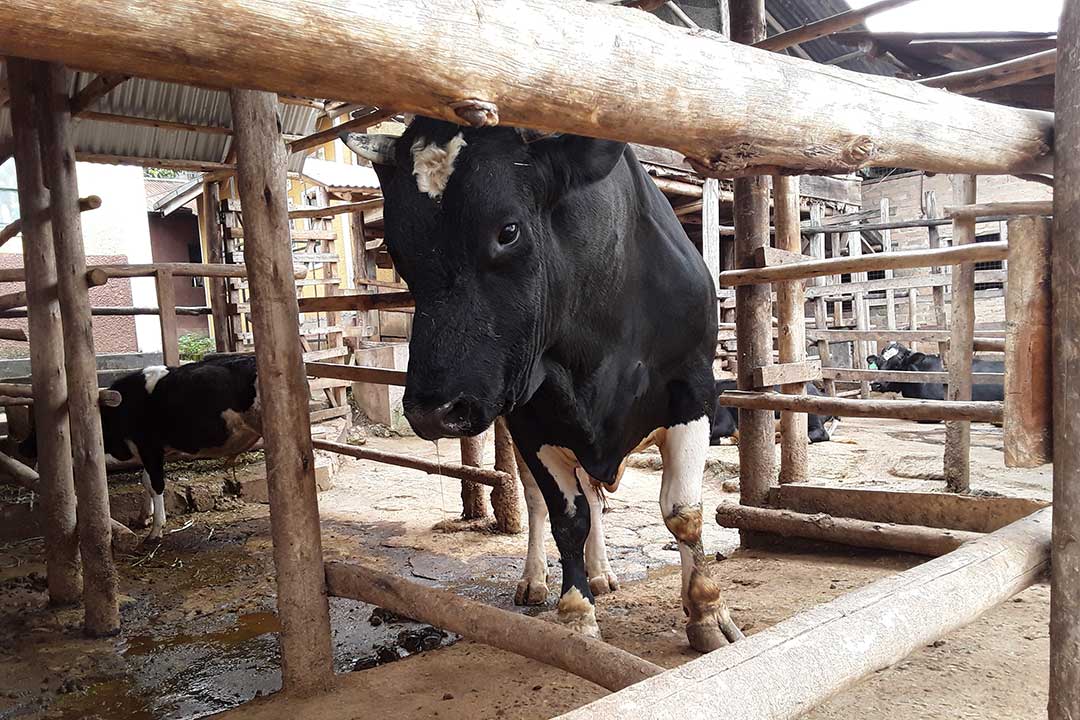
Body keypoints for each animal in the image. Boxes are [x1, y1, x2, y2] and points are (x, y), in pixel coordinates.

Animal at [20, 354, 262, 542]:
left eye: (40, 426)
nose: (22, 447)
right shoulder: (150, 452)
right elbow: (146, 481)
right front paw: (144, 517)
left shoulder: (150, 448)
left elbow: (156, 484)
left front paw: (156, 530)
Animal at [341, 117, 743, 651]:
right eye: (397, 250)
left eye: (508, 231)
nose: (432, 411)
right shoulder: (533, 419)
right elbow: (566, 518)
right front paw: (576, 618)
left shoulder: (692, 390)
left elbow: (683, 513)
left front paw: (706, 612)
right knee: (540, 500)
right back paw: (538, 580)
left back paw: (602, 573)